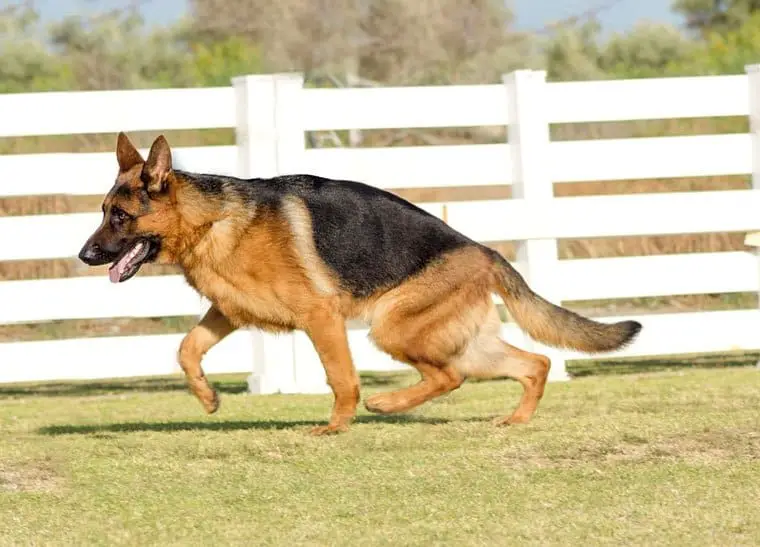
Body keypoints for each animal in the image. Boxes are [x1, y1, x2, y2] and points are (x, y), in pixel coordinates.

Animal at [78, 134, 640, 436]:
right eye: (103, 213)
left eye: (120, 217)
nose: (84, 256)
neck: (210, 220)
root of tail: (484, 251)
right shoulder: (229, 313)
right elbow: (186, 348)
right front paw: (208, 398)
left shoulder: (320, 318)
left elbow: (340, 378)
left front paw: (334, 427)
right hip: (460, 340)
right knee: (534, 363)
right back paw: (516, 420)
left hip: (394, 329)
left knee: (450, 376)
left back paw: (386, 405)